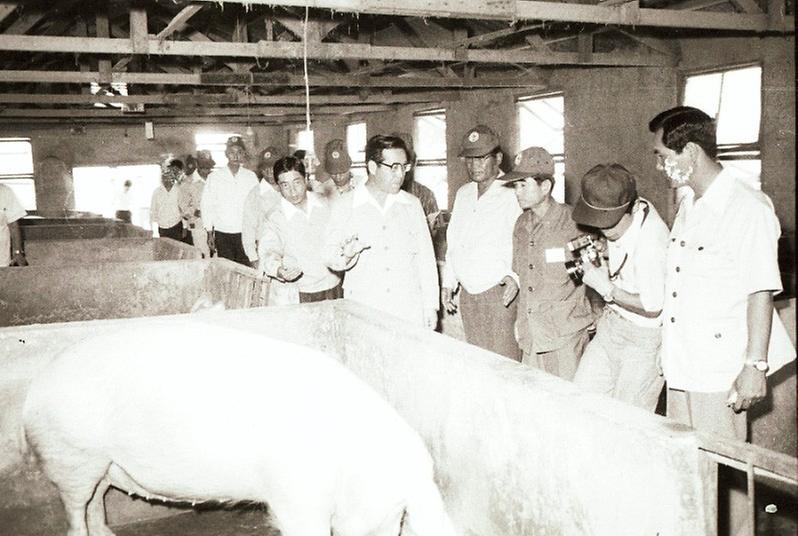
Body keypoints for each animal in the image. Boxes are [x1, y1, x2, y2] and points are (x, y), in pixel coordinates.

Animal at [23, 320, 456, 536]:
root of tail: (37, 388)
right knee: (75, 508)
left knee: (96, 500)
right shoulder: (294, 494)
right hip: (71, 452)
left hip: (100, 462)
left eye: (401, 516)